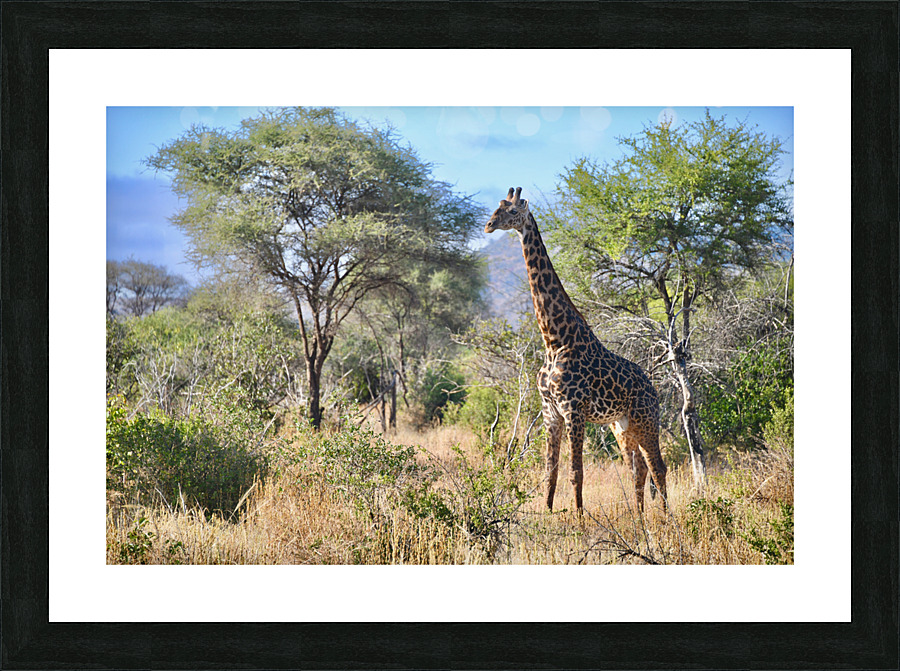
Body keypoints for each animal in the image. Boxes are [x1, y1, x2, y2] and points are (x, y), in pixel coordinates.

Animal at [485, 187, 667, 514]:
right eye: (498, 207)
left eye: (513, 211)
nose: (489, 225)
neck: (554, 340)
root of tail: (653, 388)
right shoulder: (550, 411)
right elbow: (550, 470)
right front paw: (547, 513)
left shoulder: (573, 409)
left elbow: (575, 471)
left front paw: (580, 518)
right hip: (621, 426)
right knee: (638, 469)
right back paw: (639, 517)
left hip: (646, 419)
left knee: (658, 466)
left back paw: (665, 517)